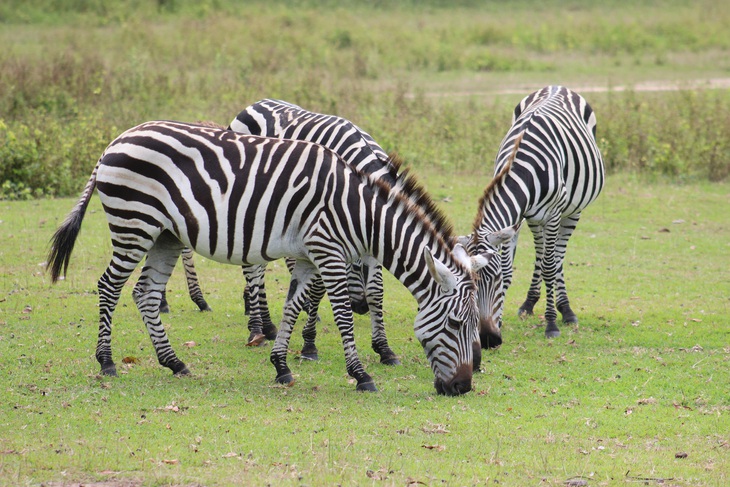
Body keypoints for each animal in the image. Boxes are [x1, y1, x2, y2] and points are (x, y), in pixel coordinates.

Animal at [48, 121, 486, 396]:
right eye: (456, 323)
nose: (463, 388)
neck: (357, 212)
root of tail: (118, 138)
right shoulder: (329, 252)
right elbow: (342, 315)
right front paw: (361, 374)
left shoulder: (308, 257)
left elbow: (293, 306)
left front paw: (281, 366)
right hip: (134, 223)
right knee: (109, 286)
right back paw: (107, 362)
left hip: (165, 236)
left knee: (146, 295)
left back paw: (174, 362)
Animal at [470, 86, 604, 342]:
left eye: (493, 280)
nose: (487, 336)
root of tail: (558, 86)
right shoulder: (517, 217)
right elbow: (510, 267)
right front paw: (500, 322)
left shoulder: (553, 214)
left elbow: (550, 267)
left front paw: (551, 324)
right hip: (535, 218)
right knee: (543, 254)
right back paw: (530, 303)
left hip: (571, 210)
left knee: (557, 256)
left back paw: (566, 310)